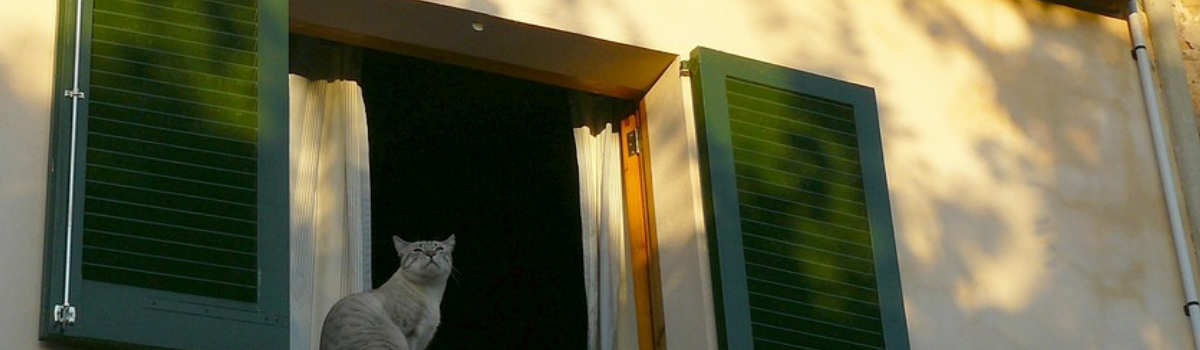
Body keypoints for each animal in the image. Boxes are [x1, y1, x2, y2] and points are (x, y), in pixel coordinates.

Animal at [319, 234, 453, 350]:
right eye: (417, 250)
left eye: (439, 248)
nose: (431, 253)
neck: (431, 293)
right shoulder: (409, 333)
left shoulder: (423, 339)